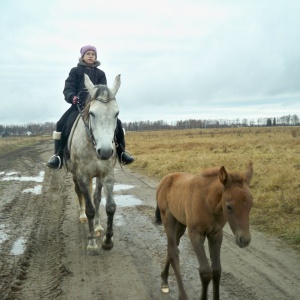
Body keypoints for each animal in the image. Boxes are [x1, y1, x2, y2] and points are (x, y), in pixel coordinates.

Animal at [66, 74, 120, 254]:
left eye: (116, 113)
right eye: (92, 113)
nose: (105, 151)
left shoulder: (107, 175)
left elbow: (109, 207)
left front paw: (108, 241)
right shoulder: (82, 176)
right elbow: (89, 208)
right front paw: (91, 242)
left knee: (95, 197)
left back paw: (97, 226)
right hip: (76, 175)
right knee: (80, 194)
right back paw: (83, 217)